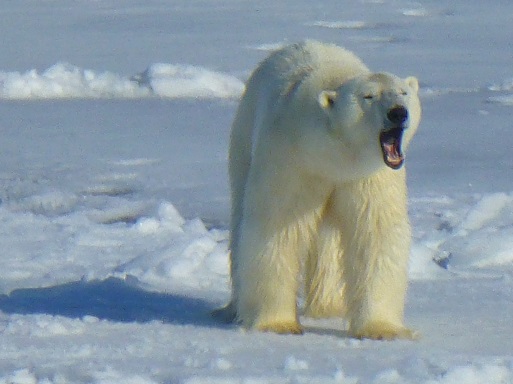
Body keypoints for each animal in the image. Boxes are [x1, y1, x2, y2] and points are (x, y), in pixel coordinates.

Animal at [216, 40, 420, 340]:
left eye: (403, 92)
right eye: (368, 96)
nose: (398, 112)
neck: (335, 155)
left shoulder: (368, 176)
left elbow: (375, 232)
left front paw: (382, 329)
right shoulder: (291, 159)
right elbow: (278, 228)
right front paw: (278, 324)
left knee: (328, 242)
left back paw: (329, 306)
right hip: (243, 138)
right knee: (240, 218)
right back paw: (235, 307)